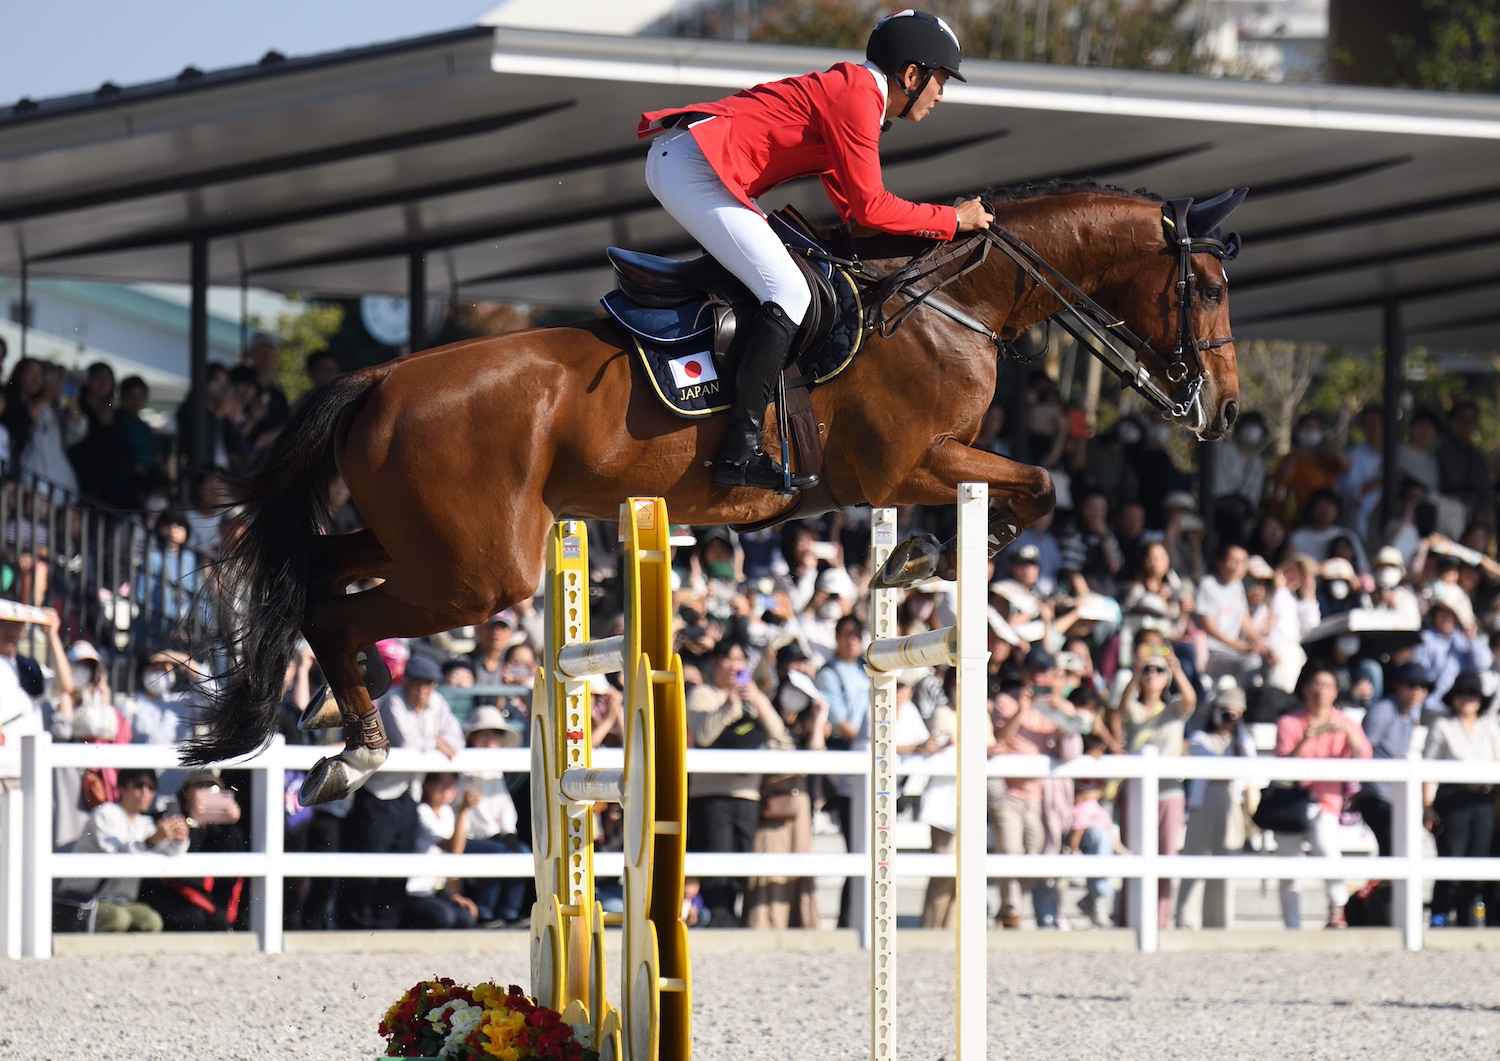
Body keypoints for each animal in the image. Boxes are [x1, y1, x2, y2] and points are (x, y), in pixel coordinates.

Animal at [184, 182, 1244, 803]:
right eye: (1211, 287)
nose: (1226, 408)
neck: (953, 302)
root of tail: (378, 382)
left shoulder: (915, 468)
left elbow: (1030, 485)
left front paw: (921, 556)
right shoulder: (903, 465)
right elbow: (1042, 484)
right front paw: (937, 553)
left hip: (423, 541)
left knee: (315, 576)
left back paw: (334, 733)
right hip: (480, 572)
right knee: (338, 608)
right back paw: (359, 750)